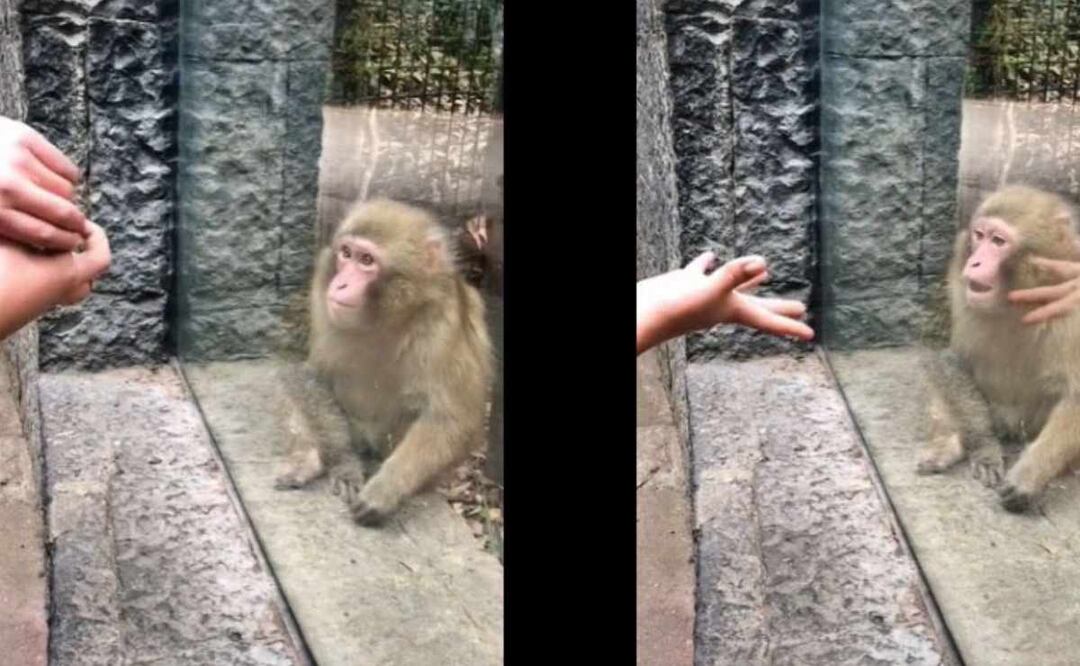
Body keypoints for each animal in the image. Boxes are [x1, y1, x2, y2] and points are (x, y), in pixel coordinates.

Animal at [273, 198, 494, 526]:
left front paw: (386, 489)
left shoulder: (443, 323)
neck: (385, 315)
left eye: (367, 260)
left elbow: (450, 417)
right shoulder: (321, 291)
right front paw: (345, 463)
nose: (340, 284)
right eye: (346, 253)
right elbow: (309, 374)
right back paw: (310, 457)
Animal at [918, 184, 1080, 512]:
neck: (1016, 299)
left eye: (998, 241)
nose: (975, 262)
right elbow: (949, 360)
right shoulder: (958, 278)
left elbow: (1076, 394)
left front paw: (1030, 474)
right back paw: (951, 443)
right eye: (979, 235)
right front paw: (984, 447)